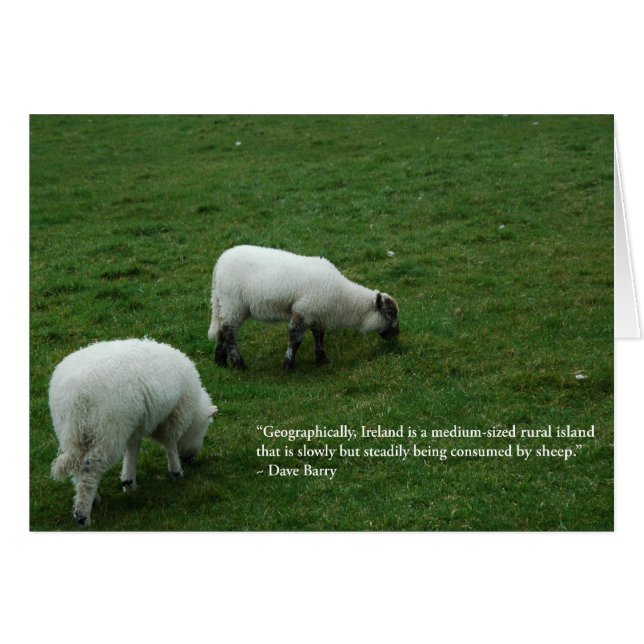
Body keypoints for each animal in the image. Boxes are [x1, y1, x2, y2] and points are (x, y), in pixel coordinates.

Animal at [49, 338, 218, 527]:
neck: (193, 412)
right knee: (89, 471)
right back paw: (82, 516)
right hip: (107, 431)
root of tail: (76, 399)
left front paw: (129, 483)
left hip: (71, 432)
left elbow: (132, 451)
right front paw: (176, 472)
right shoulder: (175, 415)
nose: (191, 459)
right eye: (204, 431)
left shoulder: (135, 425)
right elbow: (170, 444)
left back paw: (93, 499)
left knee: (78, 468)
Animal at [208, 245, 399, 370]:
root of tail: (218, 265)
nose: (396, 334)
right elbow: (295, 339)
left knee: (222, 328)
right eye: (390, 313)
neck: (342, 298)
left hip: (224, 303)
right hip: (233, 303)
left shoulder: (316, 314)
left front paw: (322, 359)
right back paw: (239, 364)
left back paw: (220, 361)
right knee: (228, 331)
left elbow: (319, 336)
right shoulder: (303, 311)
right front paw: (288, 365)